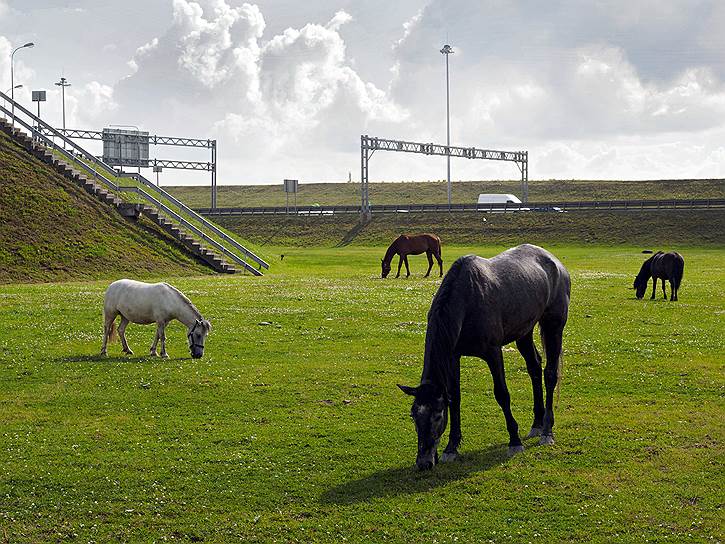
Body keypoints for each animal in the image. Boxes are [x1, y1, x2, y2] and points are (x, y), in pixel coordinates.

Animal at [396, 244, 572, 470]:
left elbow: (502, 394)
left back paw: (547, 430)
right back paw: (537, 424)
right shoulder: (453, 357)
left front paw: (514, 441)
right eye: (413, 416)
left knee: (549, 374)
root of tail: (554, 261)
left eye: (437, 414)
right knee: (534, 367)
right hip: (524, 331)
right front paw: (451, 448)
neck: (467, 301)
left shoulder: (493, 353)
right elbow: (455, 397)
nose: (424, 462)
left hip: (553, 326)